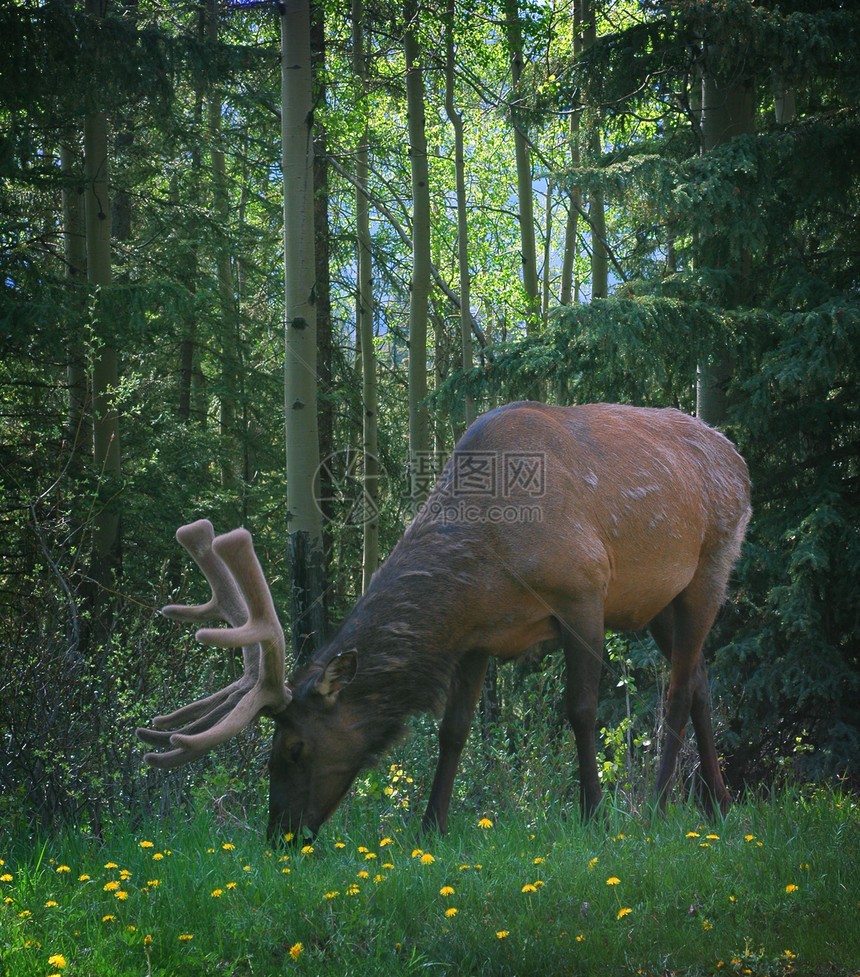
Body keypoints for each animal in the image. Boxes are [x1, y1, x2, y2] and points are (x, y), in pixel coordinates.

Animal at [138, 402, 748, 840]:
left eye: (294, 748)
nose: (278, 837)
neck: (486, 563)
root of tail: (738, 460)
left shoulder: (583, 588)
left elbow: (580, 710)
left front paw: (593, 815)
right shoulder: (477, 636)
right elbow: (453, 731)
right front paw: (430, 828)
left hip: (711, 565)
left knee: (677, 689)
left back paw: (661, 805)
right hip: (661, 604)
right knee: (701, 681)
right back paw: (719, 807)